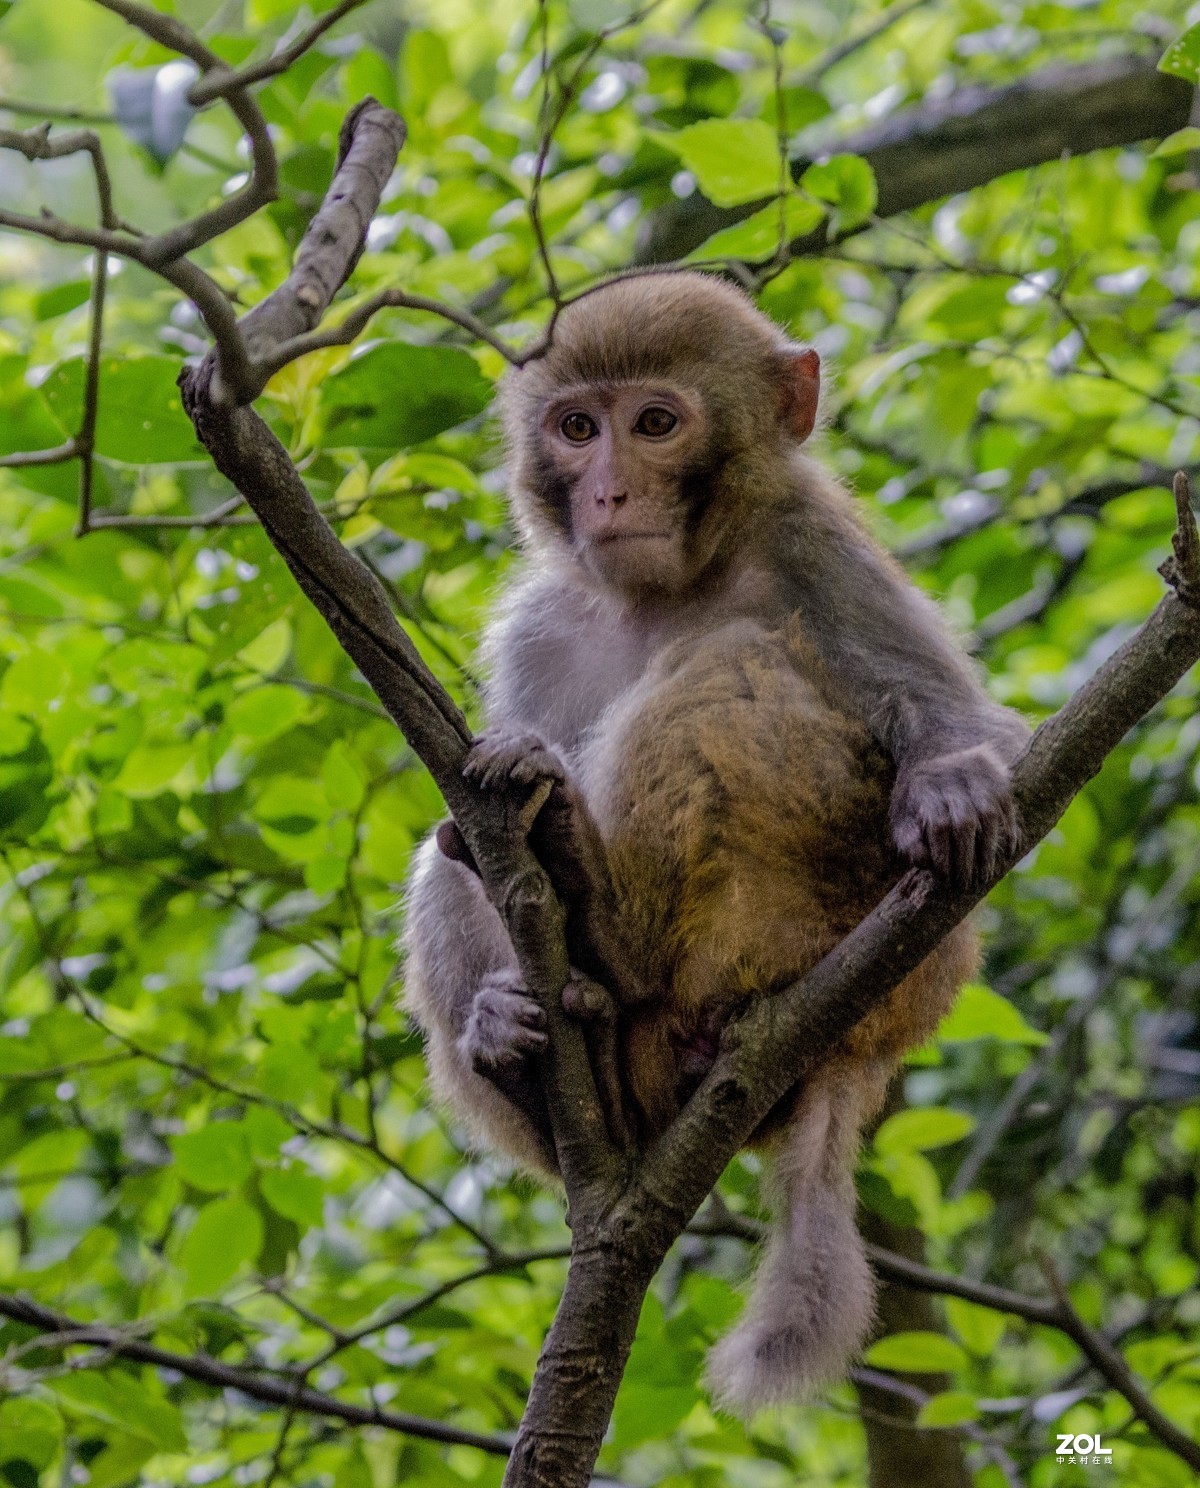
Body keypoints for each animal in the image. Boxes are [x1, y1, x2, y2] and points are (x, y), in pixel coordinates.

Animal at [399, 270, 1030, 1416]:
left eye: (655, 425)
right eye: (577, 428)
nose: (609, 496)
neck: (671, 585)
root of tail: (869, 1044)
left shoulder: (815, 542)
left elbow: (968, 723)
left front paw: (953, 783)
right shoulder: (540, 621)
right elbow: (479, 797)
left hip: (808, 914)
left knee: (729, 659)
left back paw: (604, 914)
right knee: (456, 850)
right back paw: (535, 1063)